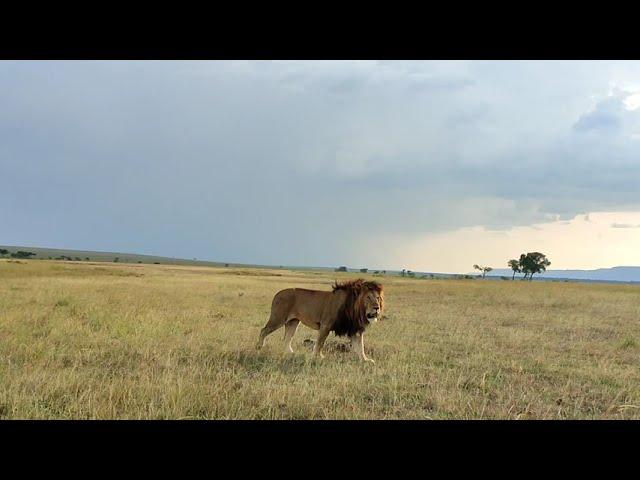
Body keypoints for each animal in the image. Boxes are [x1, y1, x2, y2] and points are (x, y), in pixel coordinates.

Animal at [256, 280, 384, 362]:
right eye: (368, 297)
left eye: (377, 298)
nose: (377, 307)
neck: (355, 309)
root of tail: (277, 293)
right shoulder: (325, 325)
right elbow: (320, 343)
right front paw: (318, 357)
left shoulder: (354, 329)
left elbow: (360, 346)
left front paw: (366, 360)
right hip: (278, 318)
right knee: (263, 330)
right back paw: (259, 347)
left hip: (293, 322)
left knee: (287, 338)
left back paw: (291, 353)